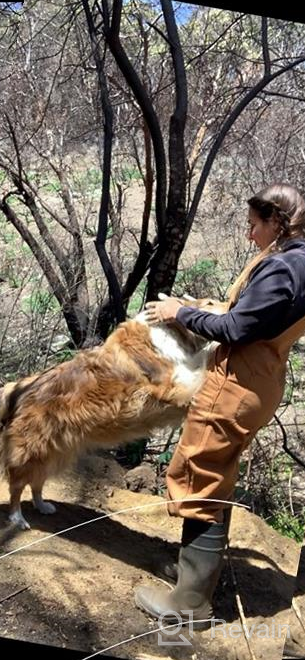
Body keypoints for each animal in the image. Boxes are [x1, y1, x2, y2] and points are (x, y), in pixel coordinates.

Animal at [0, 296, 223, 528]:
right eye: (210, 303)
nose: (229, 305)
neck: (172, 332)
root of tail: (16, 387)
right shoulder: (171, 387)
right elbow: (201, 366)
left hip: (52, 452)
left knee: (37, 481)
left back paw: (42, 506)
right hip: (29, 452)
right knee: (16, 486)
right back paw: (18, 519)